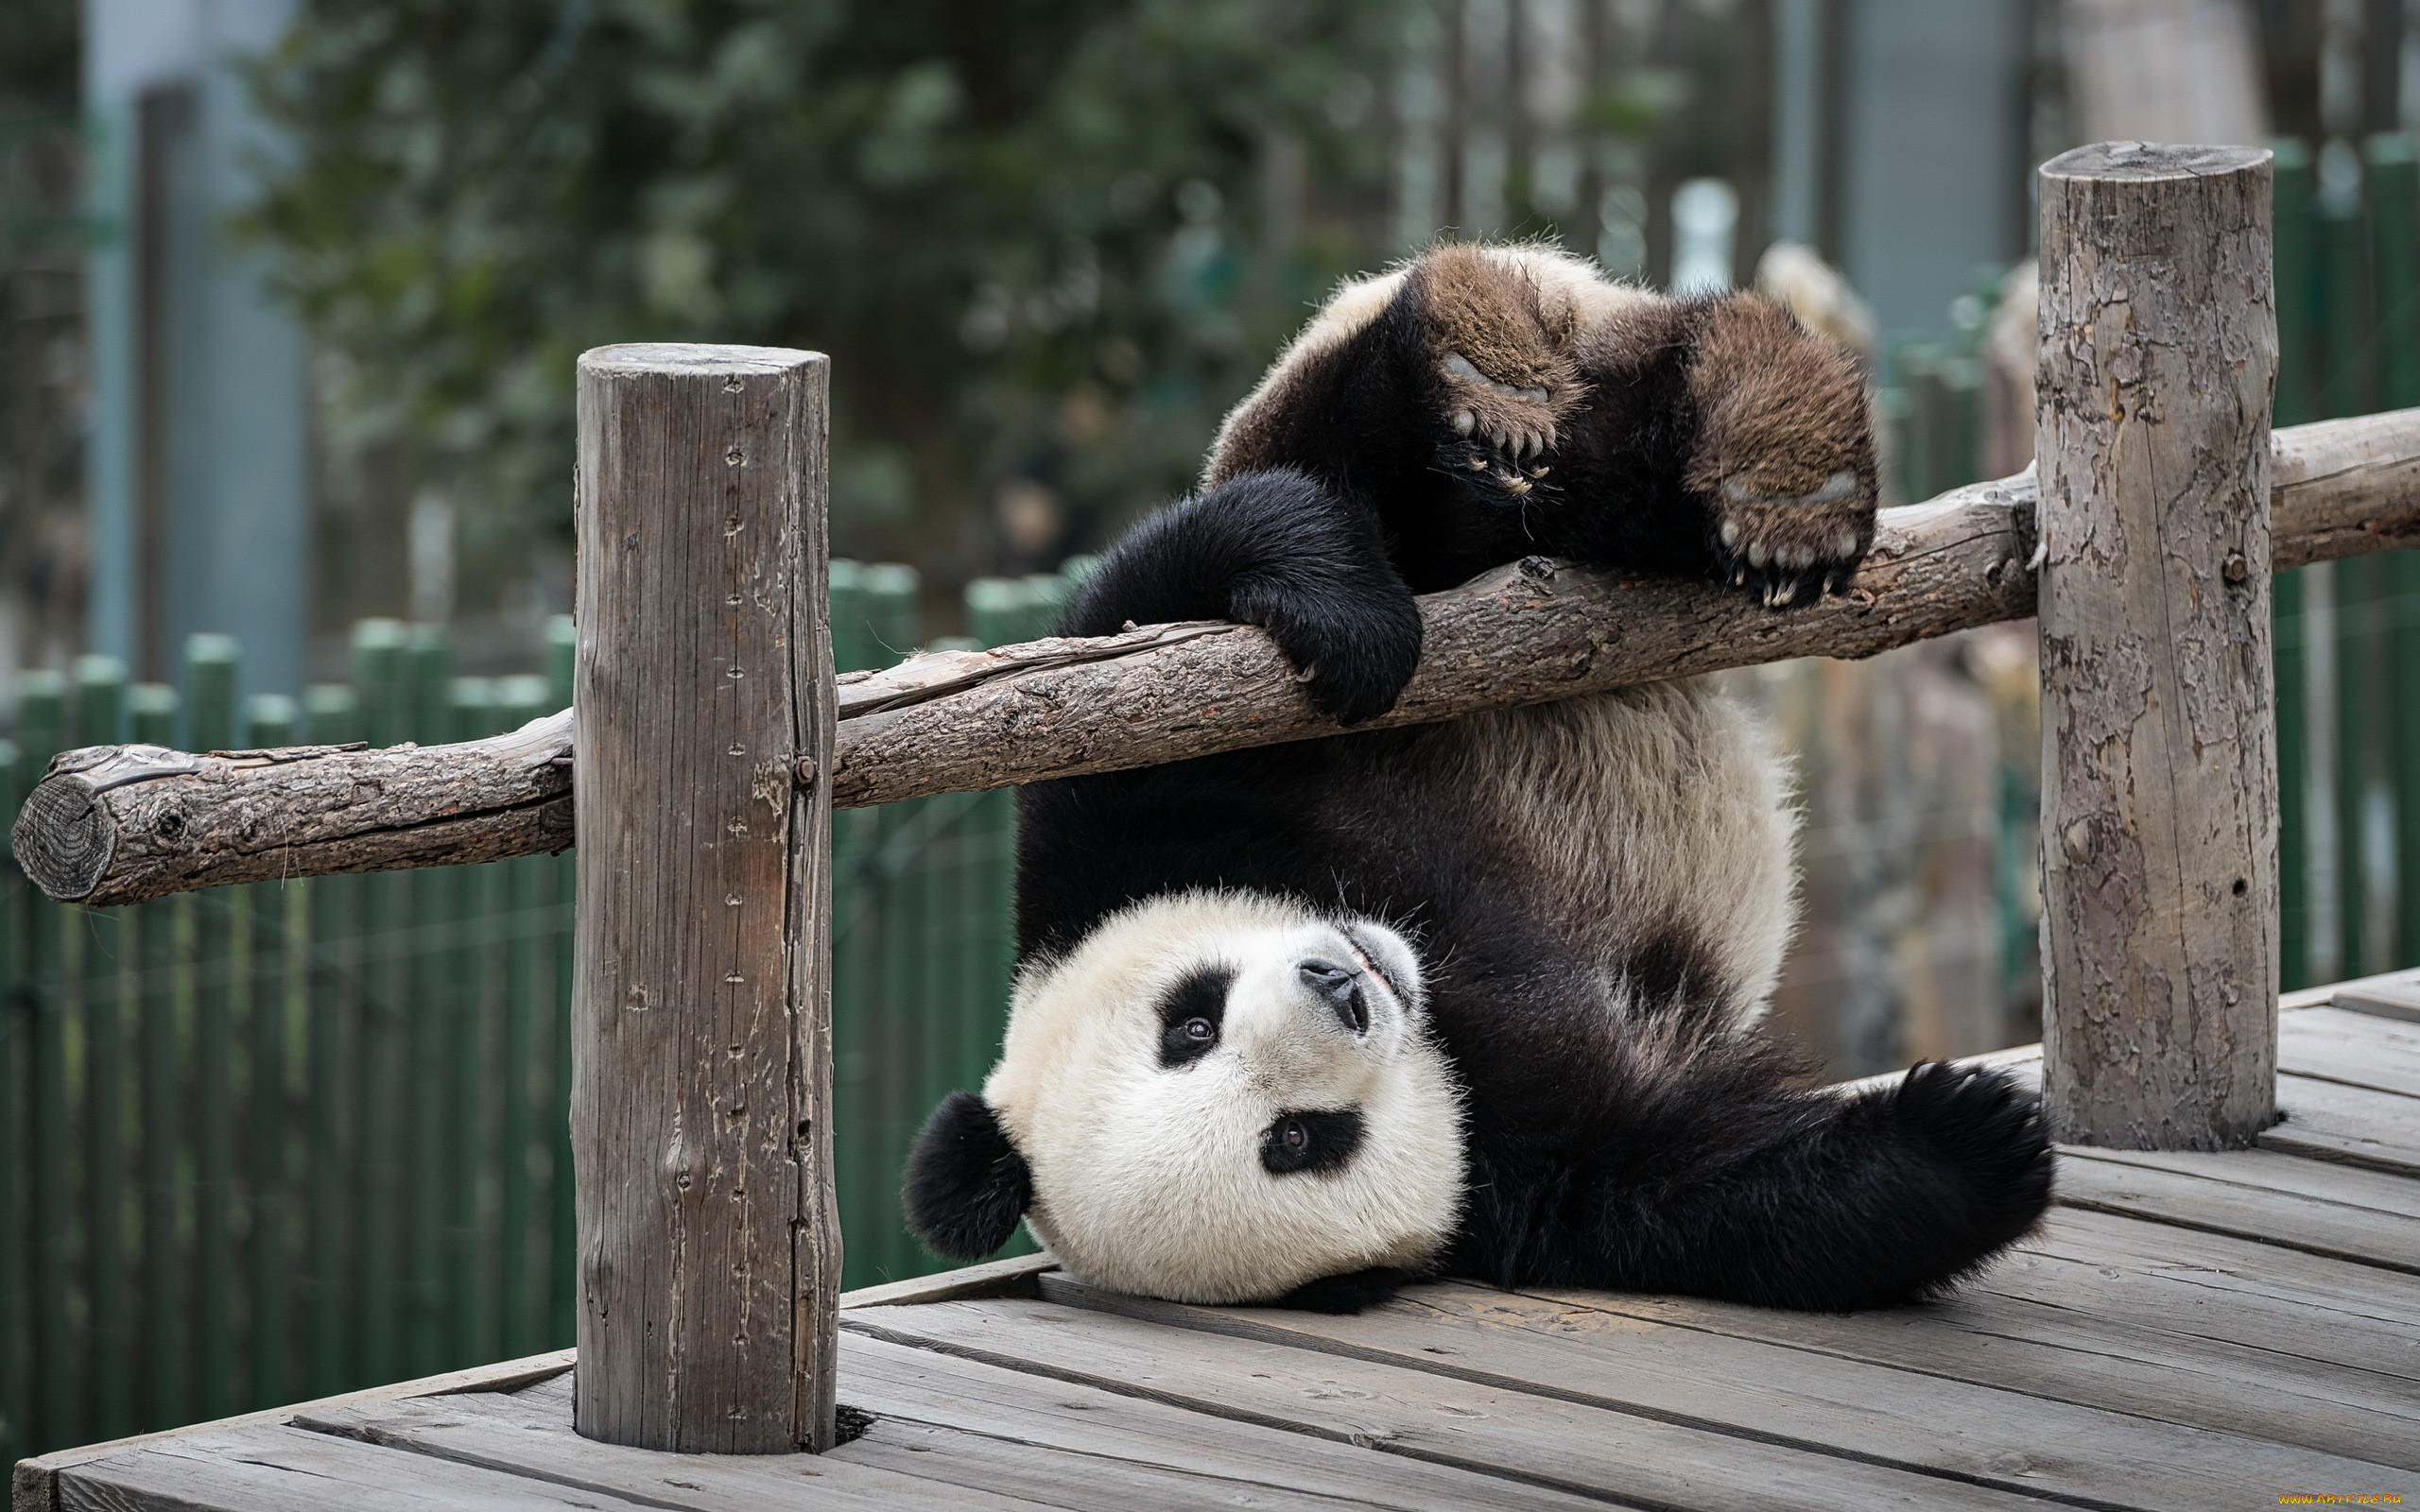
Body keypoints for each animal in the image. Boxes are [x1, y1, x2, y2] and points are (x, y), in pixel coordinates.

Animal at [900, 244, 2051, 1306]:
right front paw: (1974, 1140)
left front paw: (1351, 625)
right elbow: (1702, 1187)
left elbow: (1156, 602)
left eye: (1189, 1020)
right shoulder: (1519, 1180)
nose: (1342, 986)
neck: (1434, 985)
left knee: (1409, 462)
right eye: (1297, 1140)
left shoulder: (1112, 824)